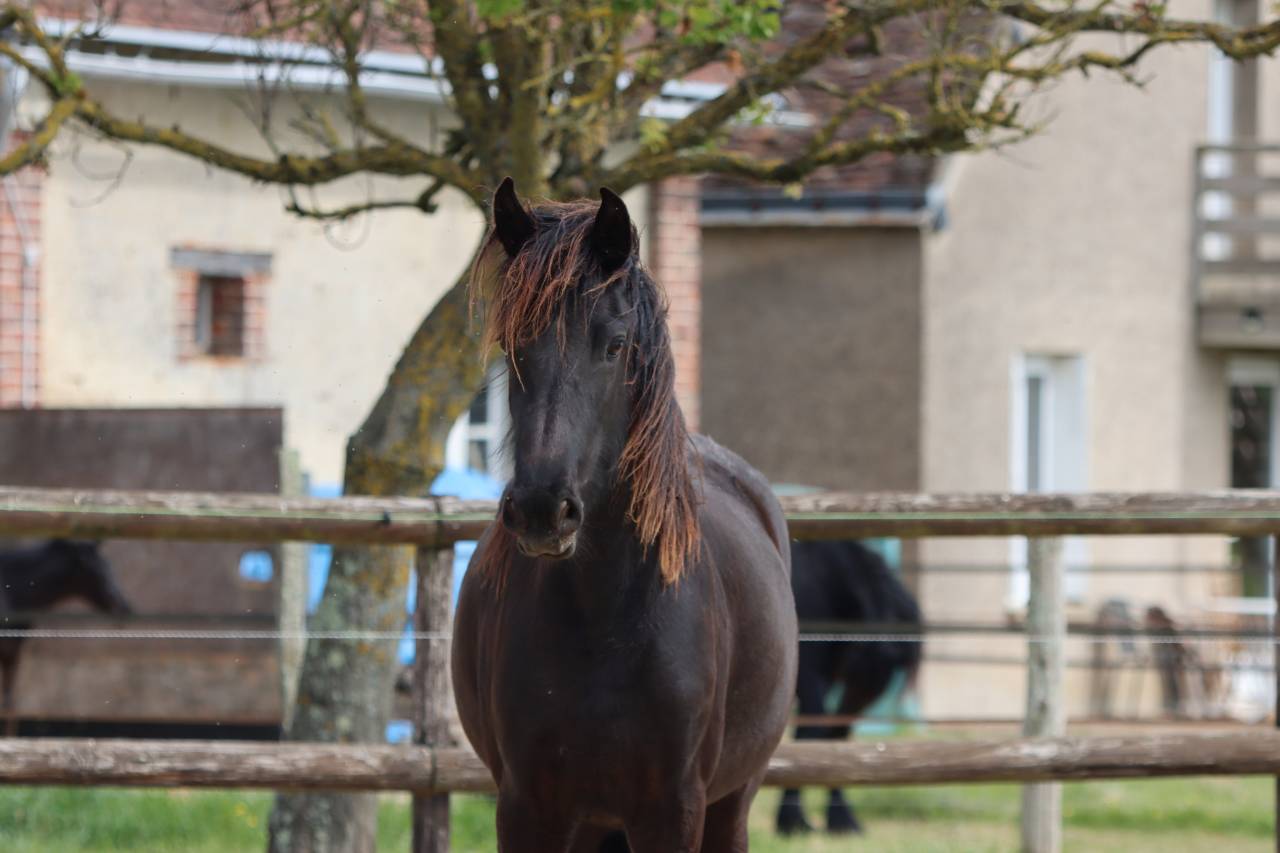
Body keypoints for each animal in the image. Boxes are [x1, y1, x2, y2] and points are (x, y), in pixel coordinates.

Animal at [0, 539, 132, 735]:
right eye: (99, 570)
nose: (124, 607)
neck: (10, 590)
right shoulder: (11, 652)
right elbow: (9, 703)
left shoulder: (11, 654)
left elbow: (9, 702)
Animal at [452, 178, 799, 853]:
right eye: (511, 347)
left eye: (613, 345)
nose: (543, 510)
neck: (606, 617)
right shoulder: (527, 808)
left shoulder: (674, 810)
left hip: (731, 804)